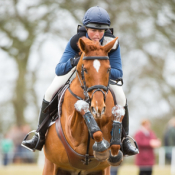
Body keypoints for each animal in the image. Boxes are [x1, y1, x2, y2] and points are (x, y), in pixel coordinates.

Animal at [43, 37, 123, 175]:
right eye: (85, 69)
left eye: (108, 69)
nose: (98, 107)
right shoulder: (73, 134)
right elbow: (82, 108)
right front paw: (101, 148)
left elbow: (117, 116)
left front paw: (113, 153)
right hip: (51, 166)